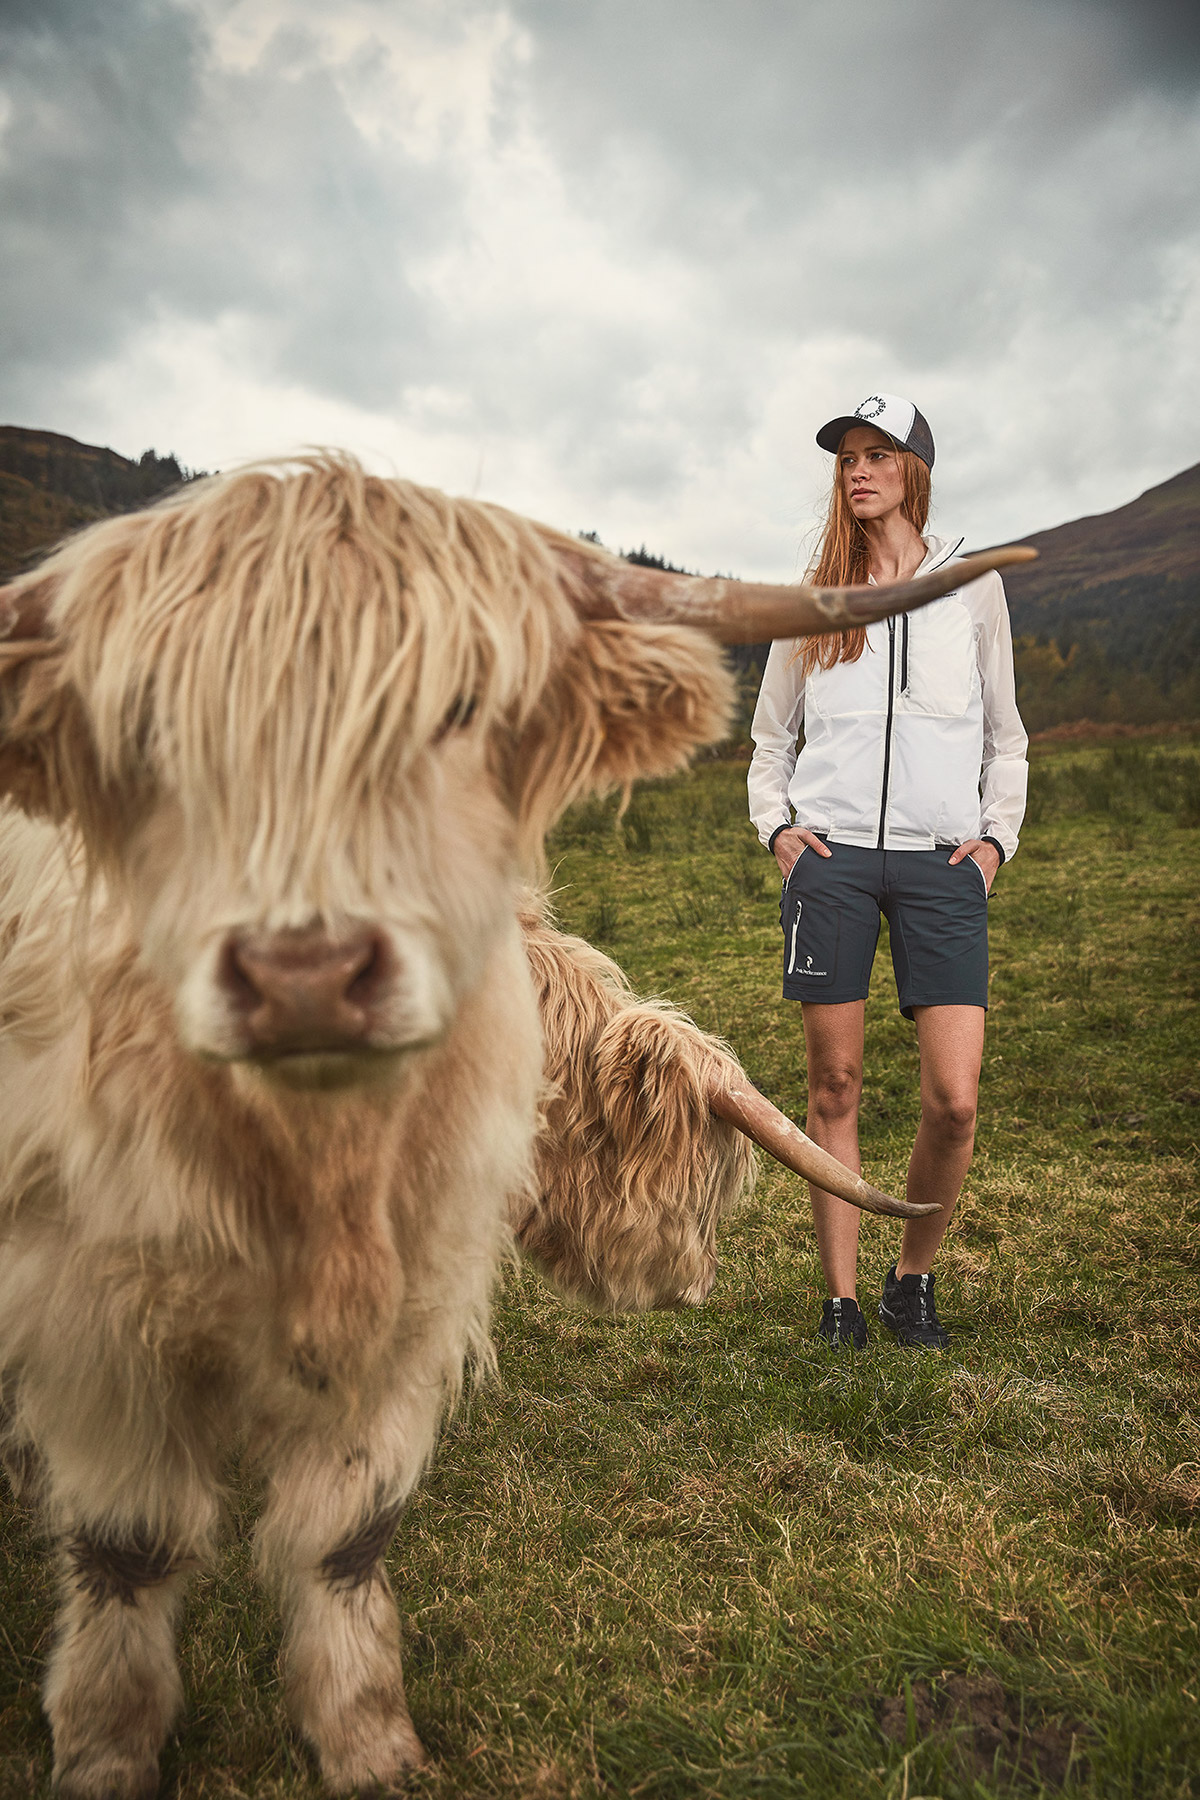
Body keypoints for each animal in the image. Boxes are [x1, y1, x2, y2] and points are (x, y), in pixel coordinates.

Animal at [0, 457, 1036, 1792]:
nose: (693, 1286)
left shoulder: (416, 1302)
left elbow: (348, 1531)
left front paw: (368, 1739)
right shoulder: (90, 1318)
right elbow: (125, 1550)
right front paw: (104, 1747)